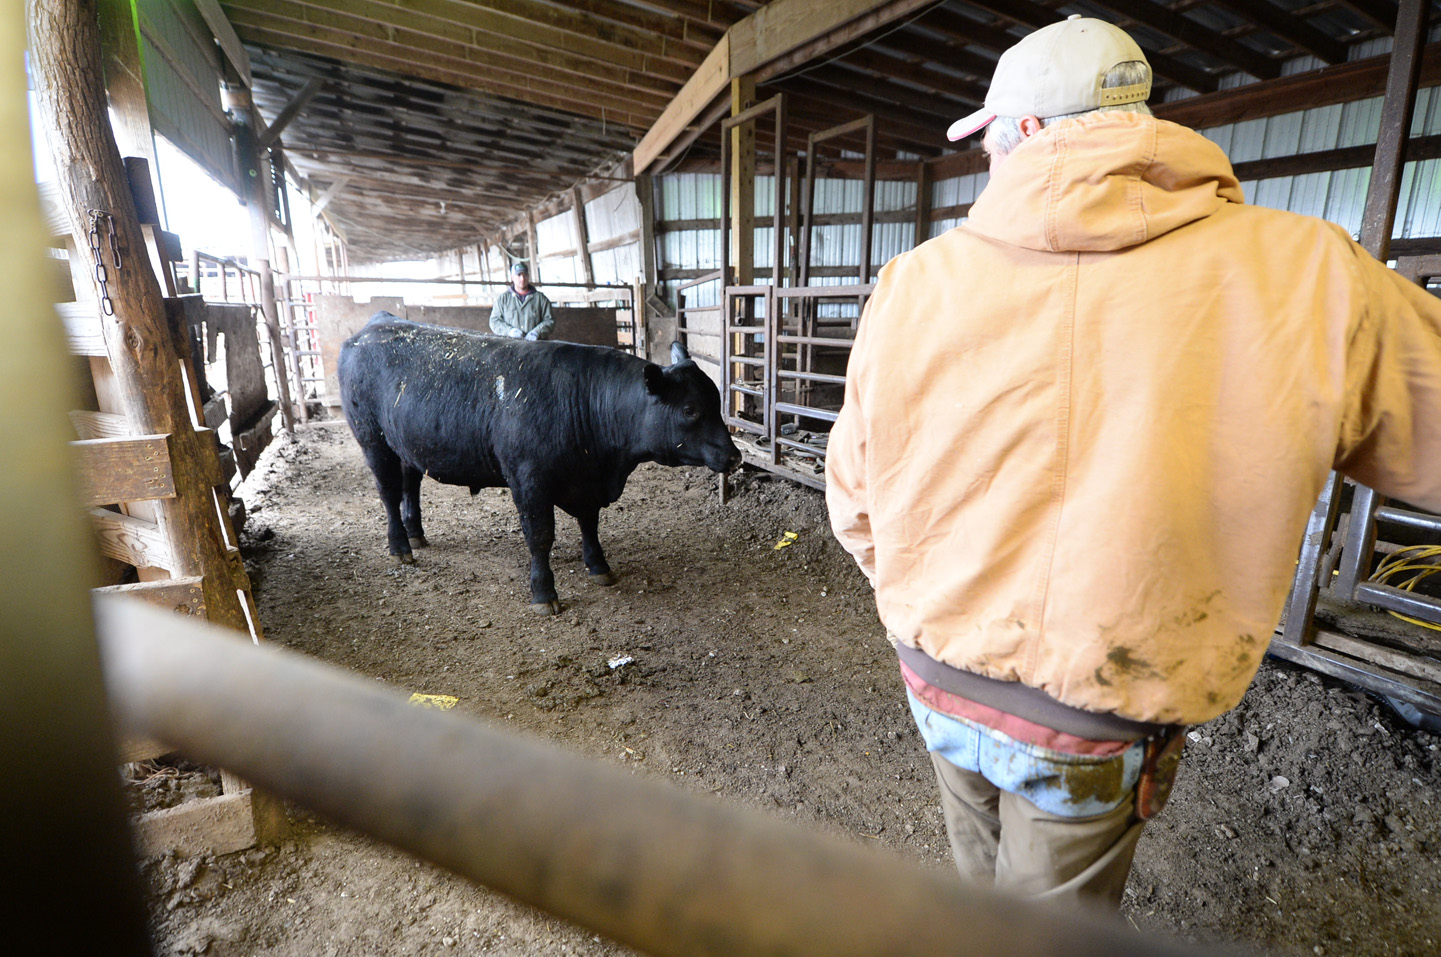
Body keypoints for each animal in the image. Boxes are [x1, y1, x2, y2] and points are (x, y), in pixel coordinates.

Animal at [338, 314, 743, 613]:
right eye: (689, 410)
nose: (735, 456)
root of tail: (375, 324)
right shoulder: (528, 479)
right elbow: (540, 536)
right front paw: (543, 592)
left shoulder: (586, 482)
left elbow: (589, 524)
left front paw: (599, 566)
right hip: (373, 439)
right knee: (389, 492)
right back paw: (399, 546)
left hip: (405, 444)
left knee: (410, 485)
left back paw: (416, 534)